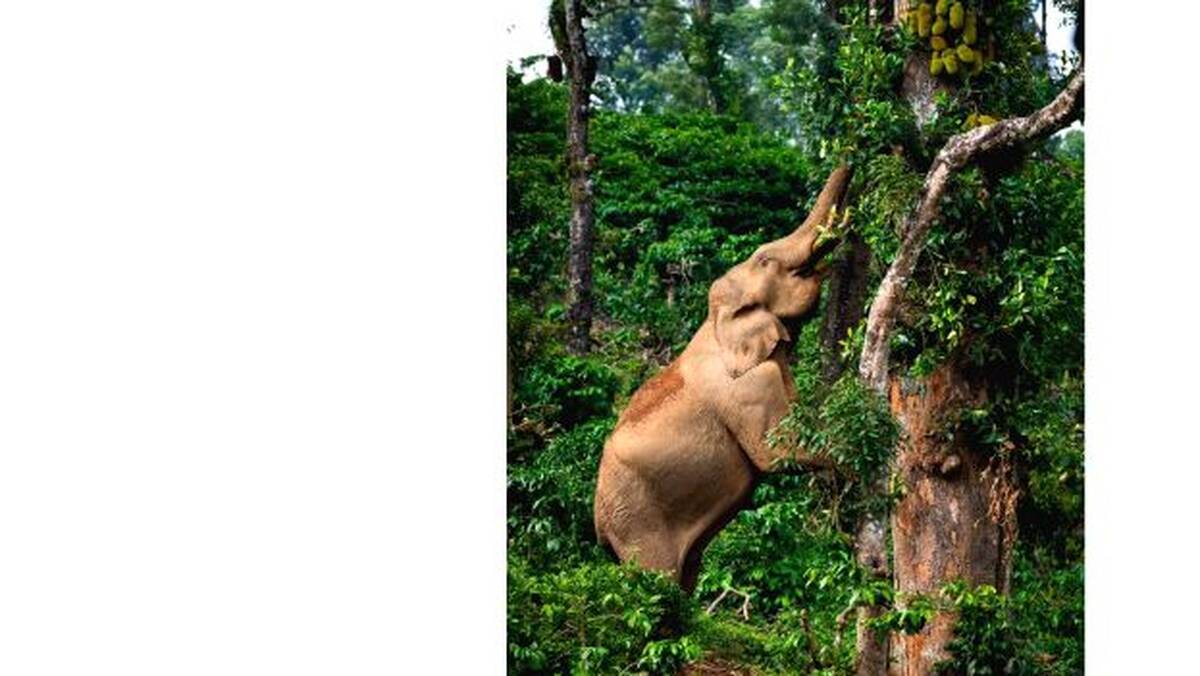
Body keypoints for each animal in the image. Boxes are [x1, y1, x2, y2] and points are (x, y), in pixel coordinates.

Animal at [593, 165, 851, 591]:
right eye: (766, 260)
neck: (714, 320)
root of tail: (598, 526)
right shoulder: (746, 389)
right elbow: (778, 453)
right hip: (635, 521)